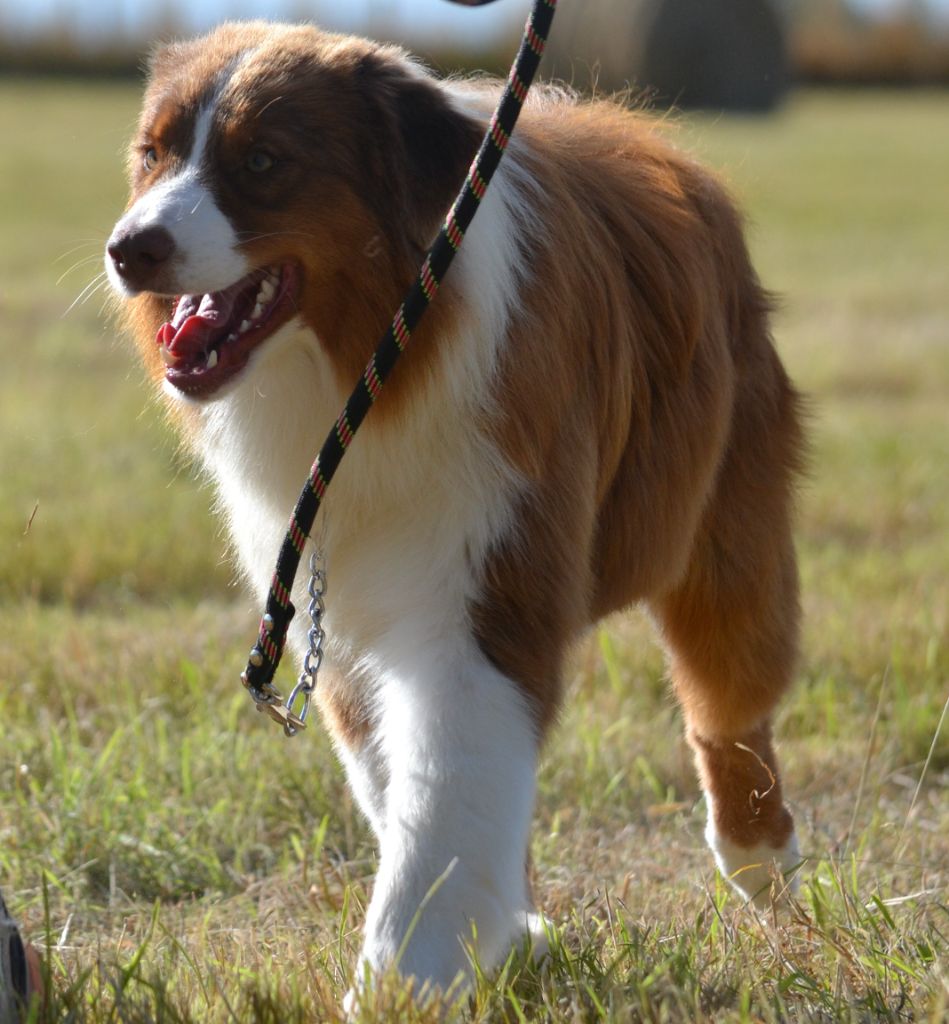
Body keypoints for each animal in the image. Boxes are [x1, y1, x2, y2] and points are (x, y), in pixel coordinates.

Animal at [103, 19, 806, 1003]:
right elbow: (410, 792)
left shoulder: (484, 594)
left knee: (727, 707)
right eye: (152, 155)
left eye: (265, 160)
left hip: (724, 533)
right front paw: (497, 940)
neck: (368, 370)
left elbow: (442, 804)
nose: (131, 248)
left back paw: (761, 865)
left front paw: (401, 983)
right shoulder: (341, 615)